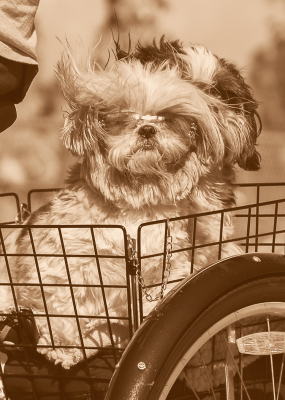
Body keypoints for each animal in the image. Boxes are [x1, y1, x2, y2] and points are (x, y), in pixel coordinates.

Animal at [0, 36, 260, 368]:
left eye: (221, 93)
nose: (147, 127)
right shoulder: (61, 261)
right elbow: (63, 307)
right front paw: (65, 346)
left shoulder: (184, 262)